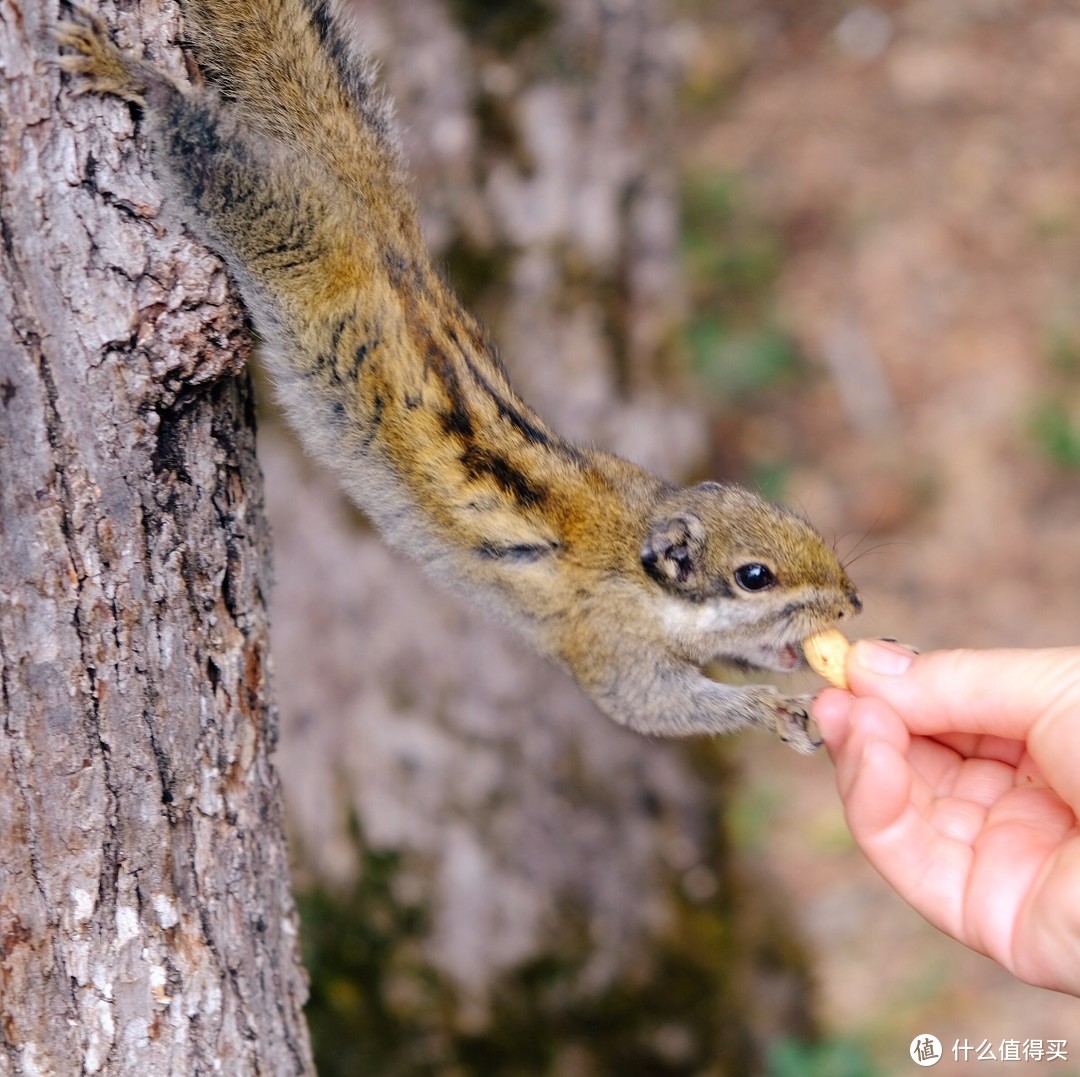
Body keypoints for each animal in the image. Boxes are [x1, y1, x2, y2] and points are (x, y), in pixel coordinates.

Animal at [56, 2, 859, 756]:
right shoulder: (610, 647)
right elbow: (661, 708)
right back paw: (131, 74)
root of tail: (384, 233)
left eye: (799, 523)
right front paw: (770, 710)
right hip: (278, 219)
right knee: (205, 148)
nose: (852, 604)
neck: (634, 554)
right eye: (754, 576)